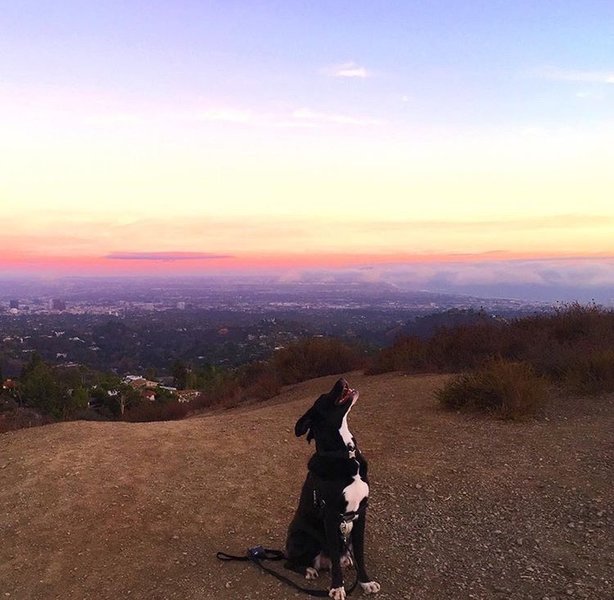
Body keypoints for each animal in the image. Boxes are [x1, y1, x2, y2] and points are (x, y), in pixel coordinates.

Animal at [288, 378, 382, 596]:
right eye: (323, 397)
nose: (341, 380)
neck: (345, 453)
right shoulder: (330, 516)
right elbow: (336, 563)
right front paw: (337, 587)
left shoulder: (361, 513)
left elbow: (360, 554)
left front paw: (365, 581)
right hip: (303, 538)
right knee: (290, 562)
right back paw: (308, 569)